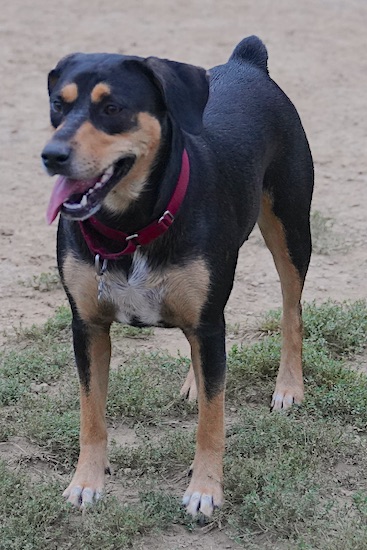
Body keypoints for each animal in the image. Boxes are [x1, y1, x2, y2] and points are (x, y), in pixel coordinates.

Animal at [42, 36, 314, 520]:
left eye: (112, 108)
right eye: (59, 104)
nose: (52, 156)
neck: (129, 225)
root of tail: (247, 61)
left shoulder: (208, 323)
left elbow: (213, 418)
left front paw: (205, 490)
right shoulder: (87, 326)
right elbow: (91, 414)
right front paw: (85, 483)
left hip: (291, 228)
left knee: (291, 311)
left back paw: (288, 387)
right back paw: (193, 381)